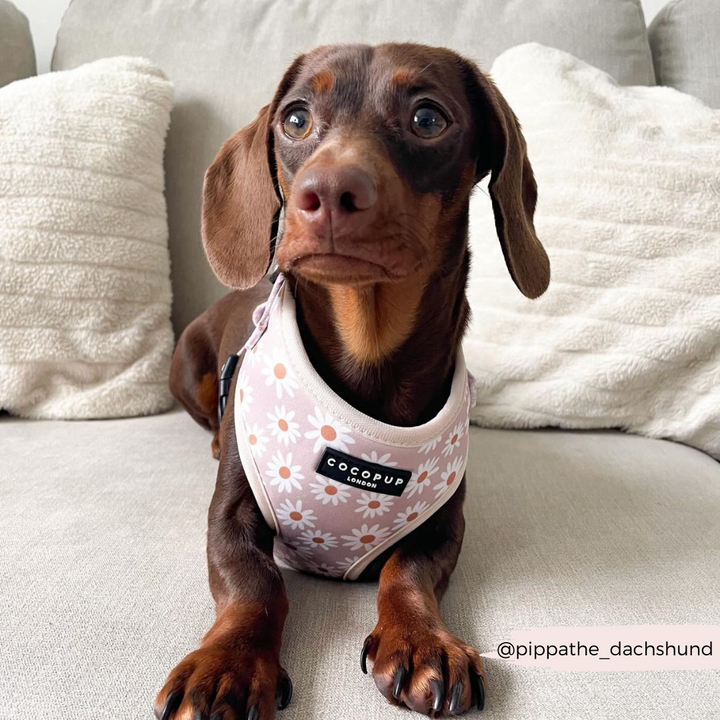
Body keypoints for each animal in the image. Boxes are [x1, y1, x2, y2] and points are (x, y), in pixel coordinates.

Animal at [155, 40, 552, 720]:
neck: (367, 359)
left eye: (428, 118)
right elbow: (254, 582)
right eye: (294, 118)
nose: (328, 190)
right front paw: (225, 665)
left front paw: (422, 641)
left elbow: (408, 571)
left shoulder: (443, 526)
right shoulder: (230, 517)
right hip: (189, 365)